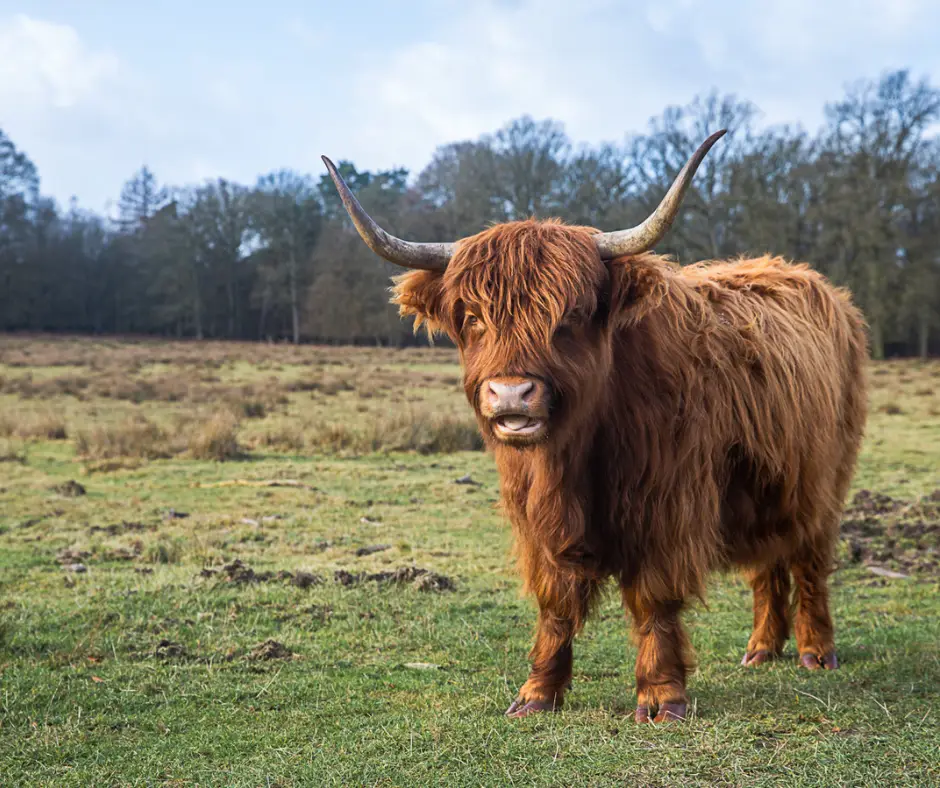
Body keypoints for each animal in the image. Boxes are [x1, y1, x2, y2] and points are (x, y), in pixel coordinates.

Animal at [322, 127, 868, 720]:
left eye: (573, 315)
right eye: (472, 317)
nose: (511, 393)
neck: (576, 455)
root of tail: (809, 281)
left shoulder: (665, 507)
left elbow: (654, 600)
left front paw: (661, 697)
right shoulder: (536, 521)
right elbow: (555, 602)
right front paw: (537, 692)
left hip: (823, 482)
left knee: (810, 562)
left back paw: (816, 651)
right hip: (764, 484)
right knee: (767, 564)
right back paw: (763, 648)